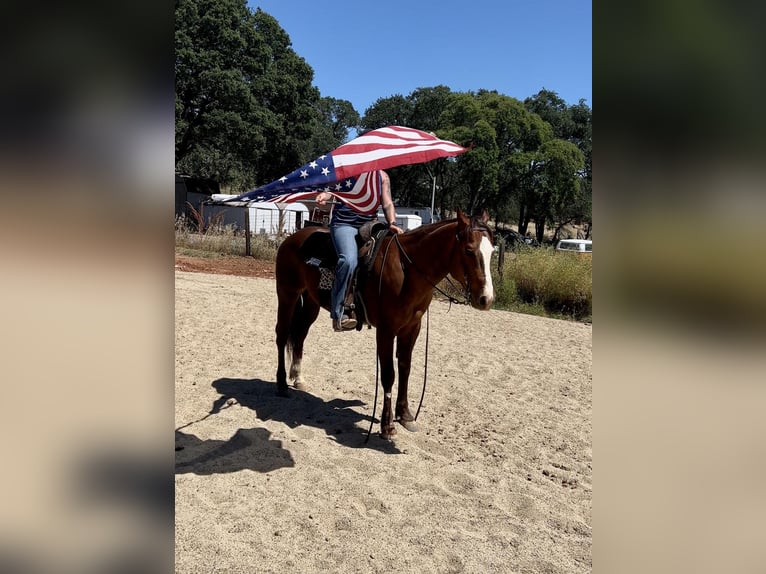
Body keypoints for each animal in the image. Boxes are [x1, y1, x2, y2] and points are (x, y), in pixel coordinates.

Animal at [274, 209, 495, 439]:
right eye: (469, 250)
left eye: (492, 251)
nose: (486, 299)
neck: (407, 269)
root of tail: (291, 238)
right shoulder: (386, 330)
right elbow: (389, 374)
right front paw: (387, 425)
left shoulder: (412, 328)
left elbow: (405, 369)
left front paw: (405, 415)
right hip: (287, 294)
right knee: (282, 335)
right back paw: (281, 383)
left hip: (310, 301)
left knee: (299, 334)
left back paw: (298, 378)